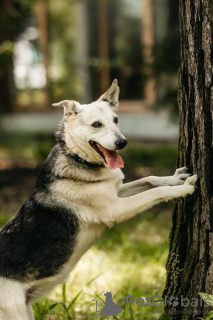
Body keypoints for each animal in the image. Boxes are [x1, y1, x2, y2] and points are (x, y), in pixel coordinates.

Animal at [0, 79, 197, 318]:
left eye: (116, 120)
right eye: (96, 125)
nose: (123, 143)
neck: (77, 158)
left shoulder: (116, 193)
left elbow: (149, 180)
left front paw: (175, 179)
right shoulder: (115, 210)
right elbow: (154, 192)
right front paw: (183, 189)